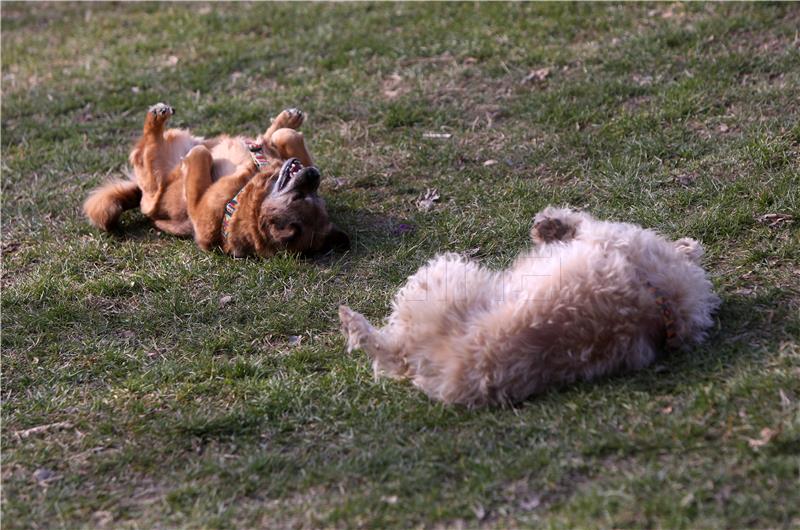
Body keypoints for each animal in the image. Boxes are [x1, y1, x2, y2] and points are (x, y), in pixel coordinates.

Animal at [83, 102, 348, 256]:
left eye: (300, 196)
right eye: (309, 194)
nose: (313, 175)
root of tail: (142, 198)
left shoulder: (200, 209)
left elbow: (200, 158)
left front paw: (196, 157)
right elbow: (288, 138)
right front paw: (282, 134)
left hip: (153, 173)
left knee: (146, 146)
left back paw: (158, 118)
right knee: (266, 135)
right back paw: (286, 120)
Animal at [338, 206, 720, 404]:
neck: (660, 306)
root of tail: (416, 355)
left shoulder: (612, 237)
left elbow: (586, 224)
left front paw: (552, 225)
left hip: (443, 274)